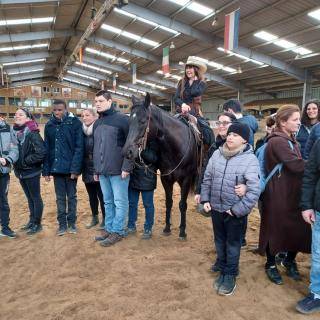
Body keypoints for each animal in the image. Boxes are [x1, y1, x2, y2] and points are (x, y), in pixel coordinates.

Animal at [122, 94, 199, 239]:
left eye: (143, 121)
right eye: (129, 121)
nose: (127, 151)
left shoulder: (186, 179)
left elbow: (182, 204)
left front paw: (182, 231)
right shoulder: (166, 178)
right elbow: (169, 202)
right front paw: (167, 228)